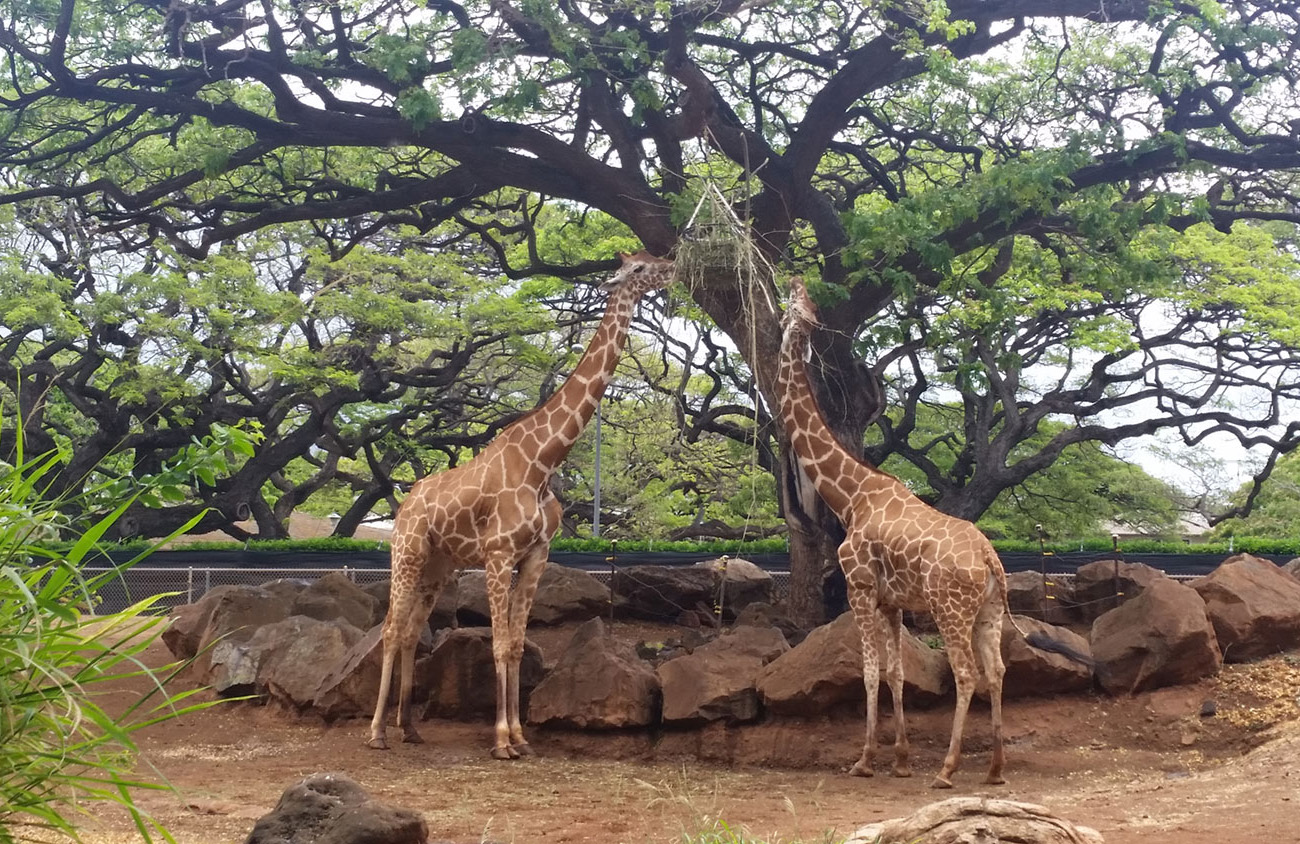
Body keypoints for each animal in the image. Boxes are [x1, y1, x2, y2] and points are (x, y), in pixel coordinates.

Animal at [364, 249, 670, 759]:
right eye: (639, 268)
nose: (673, 264)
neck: (542, 463)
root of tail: (405, 504)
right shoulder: (498, 552)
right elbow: (498, 643)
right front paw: (502, 740)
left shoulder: (535, 555)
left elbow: (517, 644)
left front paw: (521, 737)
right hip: (406, 553)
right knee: (389, 630)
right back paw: (376, 733)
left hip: (437, 565)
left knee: (408, 632)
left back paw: (408, 728)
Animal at [774, 274, 1019, 790]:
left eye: (795, 303)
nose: (795, 280)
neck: (850, 496)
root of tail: (990, 559)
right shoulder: (892, 602)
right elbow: (896, 674)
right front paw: (902, 758)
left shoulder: (859, 587)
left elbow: (869, 672)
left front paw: (866, 758)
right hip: (988, 610)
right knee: (996, 670)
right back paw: (994, 768)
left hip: (949, 608)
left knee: (966, 673)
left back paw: (947, 769)